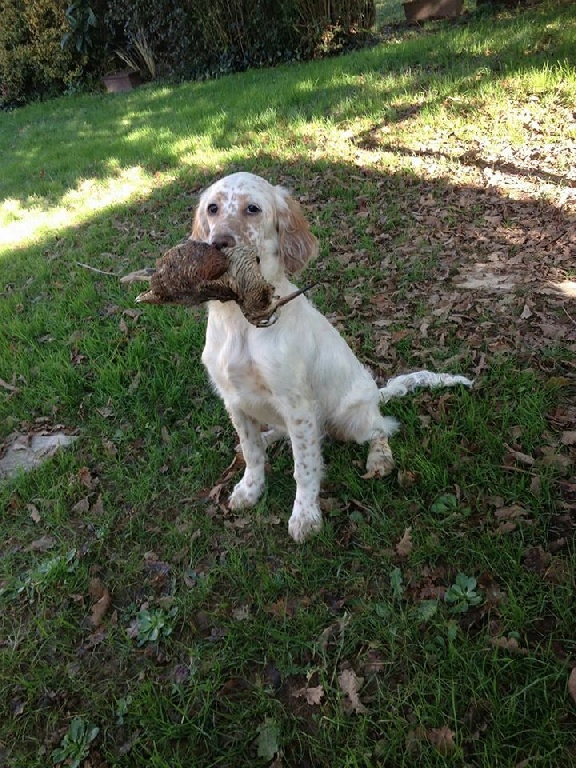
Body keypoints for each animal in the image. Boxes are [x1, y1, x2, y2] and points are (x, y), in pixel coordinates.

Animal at [191, 171, 470, 544]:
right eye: (213, 208)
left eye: (252, 209)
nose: (219, 243)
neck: (240, 321)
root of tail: (374, 394)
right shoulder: (235, 400)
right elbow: (252, 453)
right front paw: (249, 490)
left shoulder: (297, 405)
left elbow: (305, 468)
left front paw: (305, 516)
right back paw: (269, 436)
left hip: (352, 419)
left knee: (382, 428)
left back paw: (379, 458)